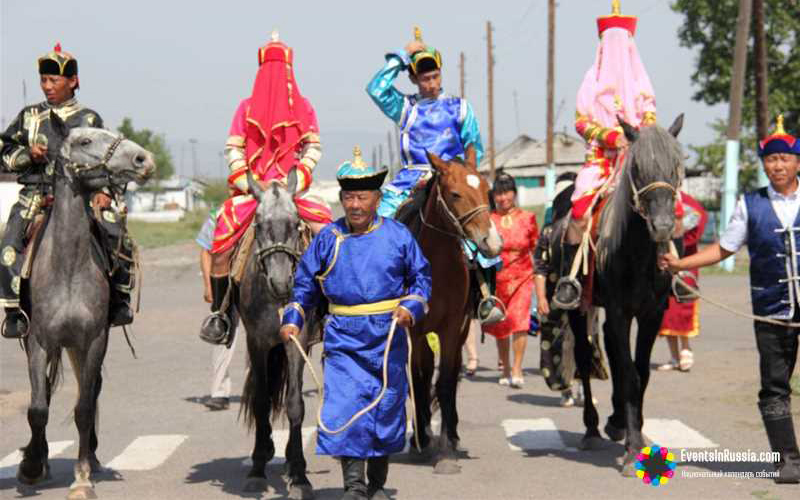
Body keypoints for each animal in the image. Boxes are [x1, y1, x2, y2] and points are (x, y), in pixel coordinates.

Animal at [17, 113, 153, 500]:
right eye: (85, 141)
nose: (144, 160)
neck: (67, 268)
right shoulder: (38, 342)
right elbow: (38, 408)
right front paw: (31, 466)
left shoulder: (93, 341)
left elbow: (84, 408)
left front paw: (81, 478)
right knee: (47, 395)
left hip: (79, 348)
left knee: (90, 394)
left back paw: (90, 457)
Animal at [552, 115, 688, 474]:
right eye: (637, 167)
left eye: (676, 166)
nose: (663, 227)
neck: (637, 252)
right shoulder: (618, 311)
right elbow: (628, 375)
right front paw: (632, 448)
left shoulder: (652, 313)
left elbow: (640, 372)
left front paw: (633, 431)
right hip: (580, 307)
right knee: (585, 357)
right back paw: (591, 428)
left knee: (612, 353)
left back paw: (616, 422)